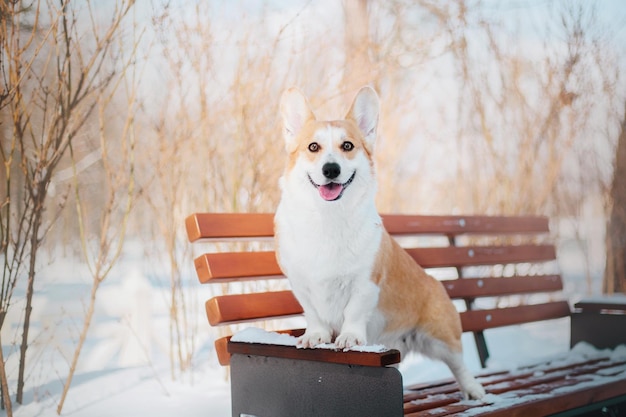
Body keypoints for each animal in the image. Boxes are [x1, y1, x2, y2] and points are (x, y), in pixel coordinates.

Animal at [272, 85, 482, 400]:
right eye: (313, 147)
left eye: (348, 146)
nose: (331, 169)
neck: (328, 217)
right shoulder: (300, 283)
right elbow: (313, 313)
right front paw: (316, 335)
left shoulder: (366, 282)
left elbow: (354, 311)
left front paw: (349, 337)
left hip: (440, 336)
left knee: (459, 364)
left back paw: (475, 391)